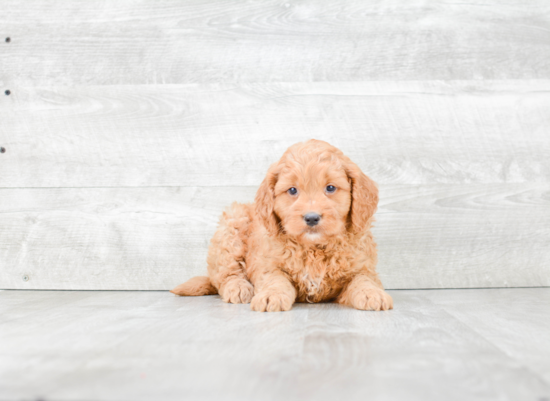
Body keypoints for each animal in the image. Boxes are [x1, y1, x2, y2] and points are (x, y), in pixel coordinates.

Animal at [171, 139, 392, 310]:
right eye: (292, 190)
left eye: (330, 188)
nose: (312, 218)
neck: (314, 248)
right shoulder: (267, 264)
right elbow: (275, 279)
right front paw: (271, 296)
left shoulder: (363, 267)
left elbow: (363, 280)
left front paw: (373, 294)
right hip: (232, 225)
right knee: (225, 274)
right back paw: (239, 288)